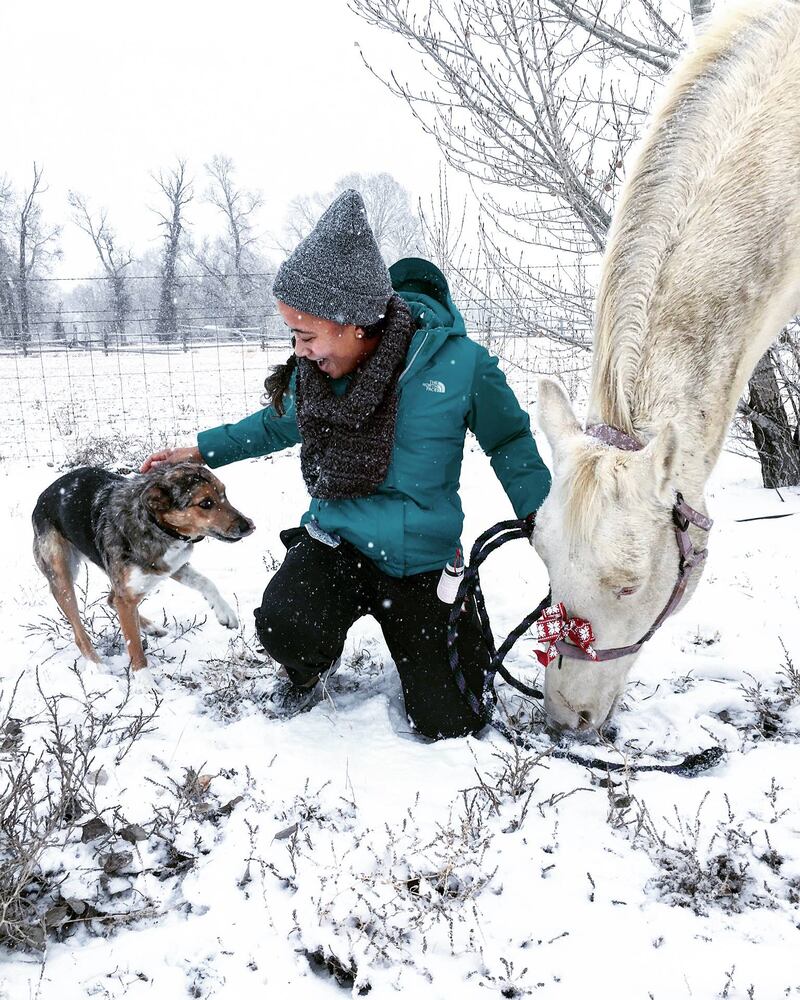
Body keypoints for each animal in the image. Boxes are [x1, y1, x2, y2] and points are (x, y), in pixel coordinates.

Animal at [32, 466, 253, 672]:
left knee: (111, 599)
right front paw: (144, 682)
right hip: (62, 578)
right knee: (79, 631)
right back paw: (97, 666)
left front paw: (225, 612)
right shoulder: (129, 594)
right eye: (206, 503)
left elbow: (206, 582)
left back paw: (151, 627)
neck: (154, 524)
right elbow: (135, 649)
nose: (249, 526)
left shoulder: (170, 566)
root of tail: (42, 497)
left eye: (224, 494)